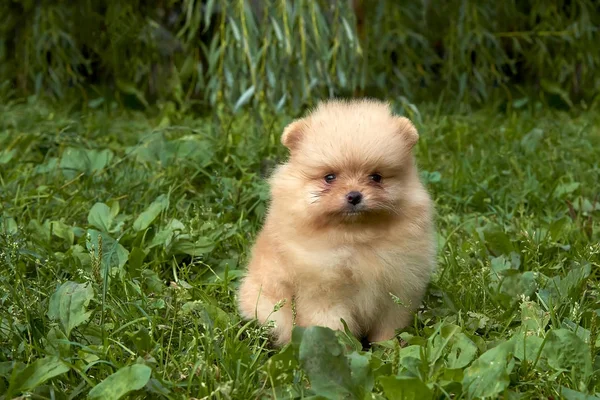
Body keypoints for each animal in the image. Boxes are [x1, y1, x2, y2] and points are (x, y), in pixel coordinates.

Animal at [237, 98, 434, 346]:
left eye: (376, 177)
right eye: (329, 177)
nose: (354, 195)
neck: (355, 239)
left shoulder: (395, 291)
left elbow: (388, 329)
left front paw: (388, 348)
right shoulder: (323, 295)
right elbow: (332, 328)